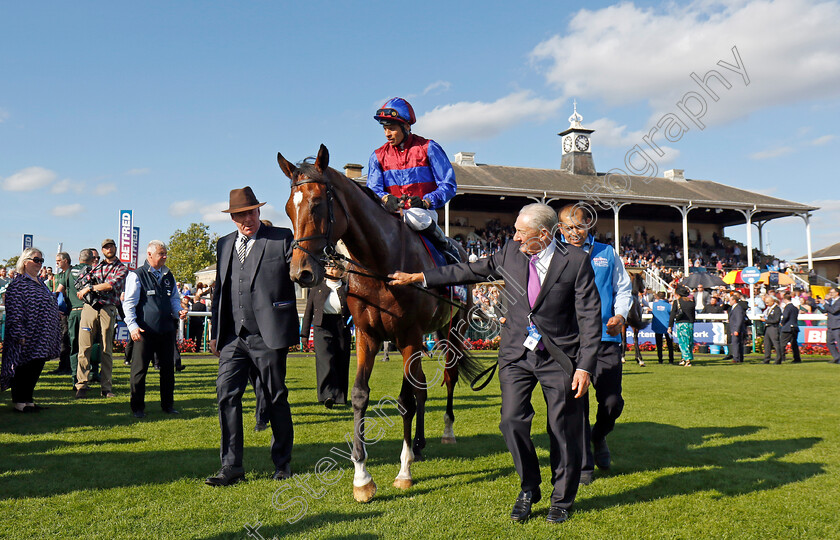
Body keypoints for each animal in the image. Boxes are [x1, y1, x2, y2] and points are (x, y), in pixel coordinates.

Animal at [278, 142, 482, 502]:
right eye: (289, 209)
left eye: (317, 204)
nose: (299, 273)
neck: (381, 263)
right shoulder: (368, 334)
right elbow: (361, 395)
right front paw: (362, 477)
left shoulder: (408, 336)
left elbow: (404, 402)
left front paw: (403, 472)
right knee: (421, 388)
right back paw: (419, 444)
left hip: (450, 332)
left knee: (448, 377)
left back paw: (445, 431)